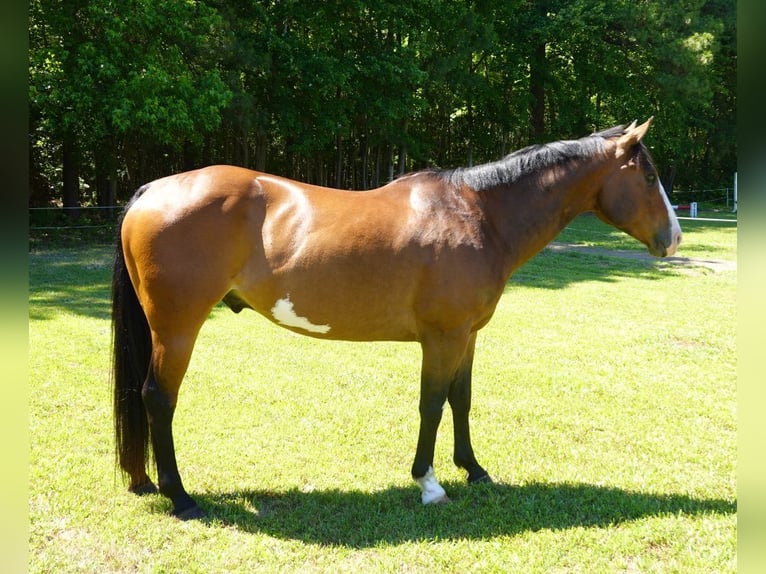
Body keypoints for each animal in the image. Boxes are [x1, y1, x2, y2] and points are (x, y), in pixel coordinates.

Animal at [112, 118, 681, 519]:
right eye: (650, 175)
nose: (674, 239)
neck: (478, 215)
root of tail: (152, 190)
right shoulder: (442, 339)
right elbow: (432, 405)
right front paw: (429, 484)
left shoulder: (466, 337)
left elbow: (460, 400)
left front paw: (474, 470)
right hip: (177, 330)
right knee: (158, 398)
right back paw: (182, 498)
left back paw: (146, 482)